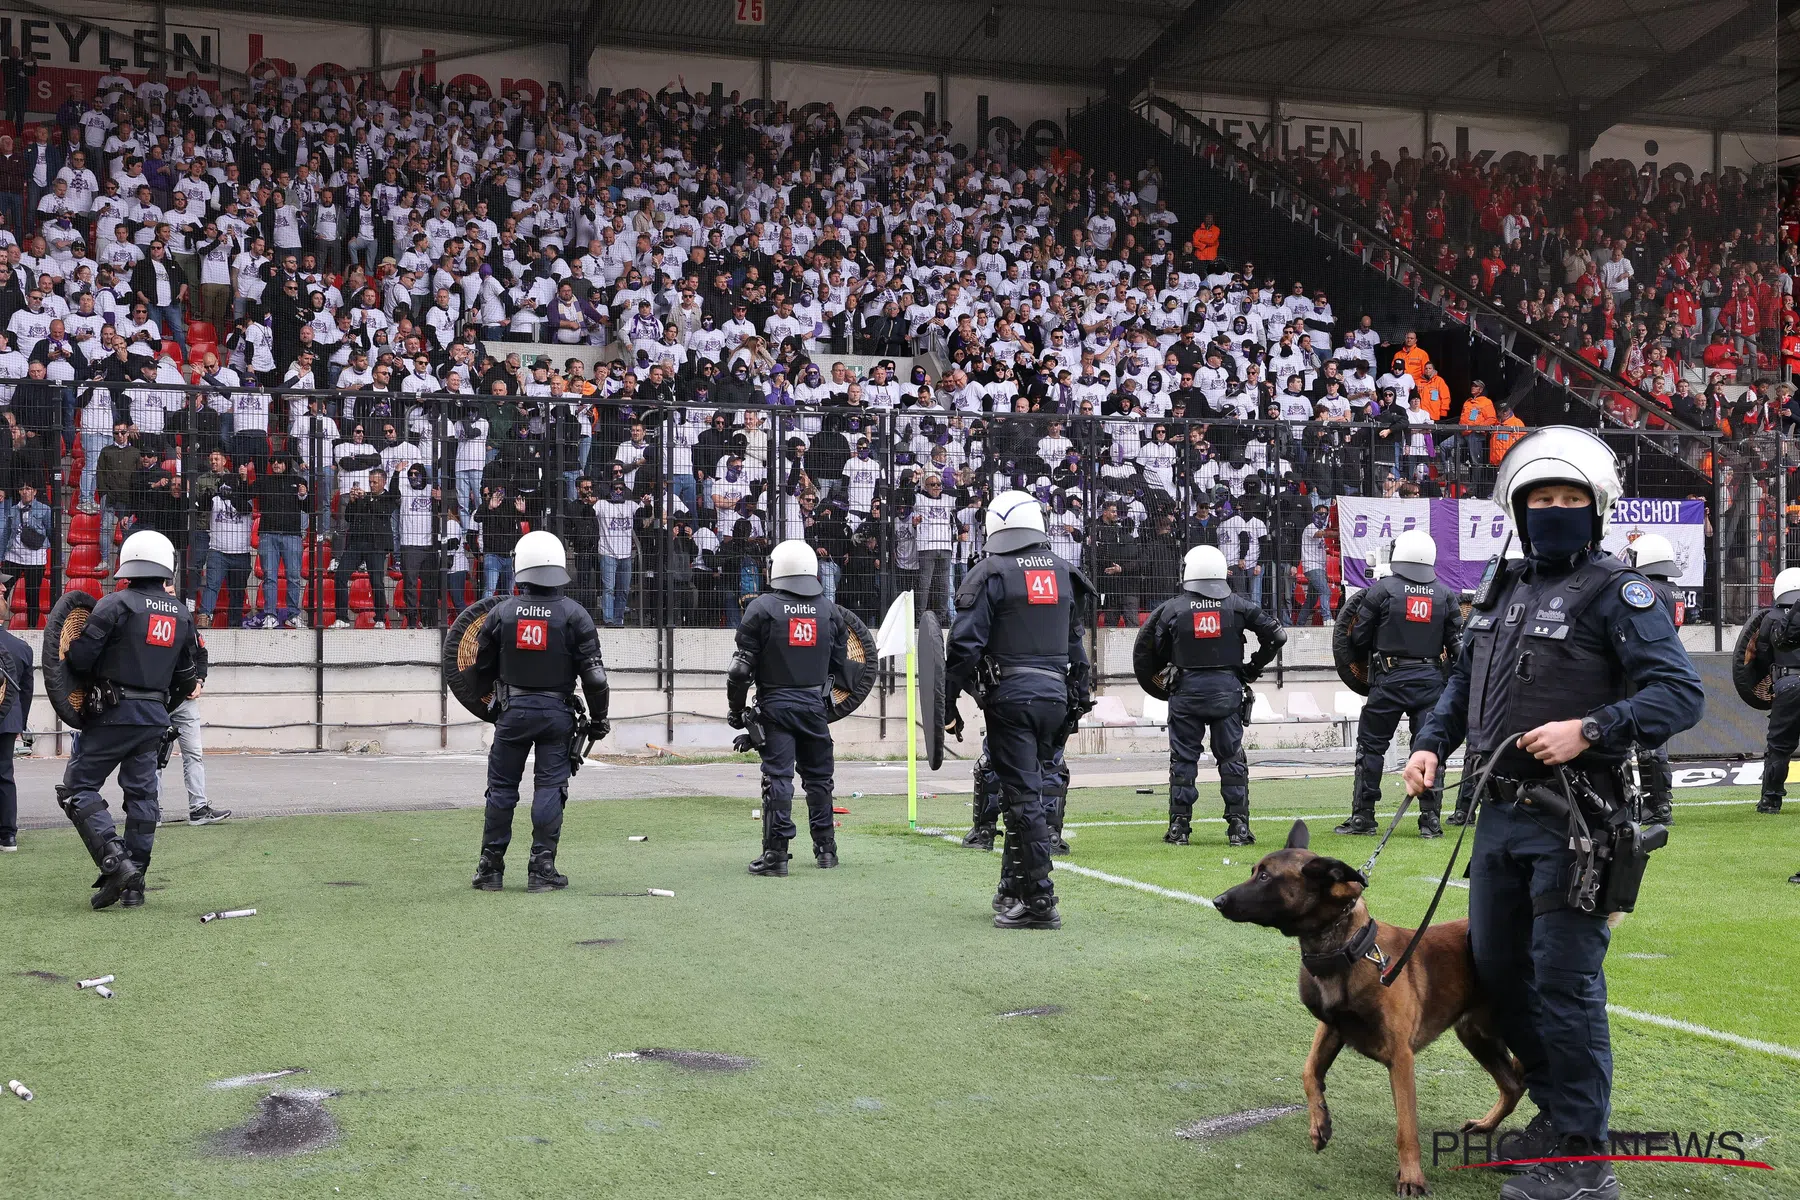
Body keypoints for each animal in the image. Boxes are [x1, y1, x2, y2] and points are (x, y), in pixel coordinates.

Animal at [1209, 820, 1519, 1194]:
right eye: (1254, 871)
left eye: (1266, 876)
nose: (1217, 900)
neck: (1347, 948)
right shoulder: (1331, 1028)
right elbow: (1308, 1071)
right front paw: (1319, 1123)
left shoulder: (1401, 1058)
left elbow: (1406, 1128)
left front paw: (1411, 1176)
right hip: (1476, 1036)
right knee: (1514, 1084)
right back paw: (1487, 1124)